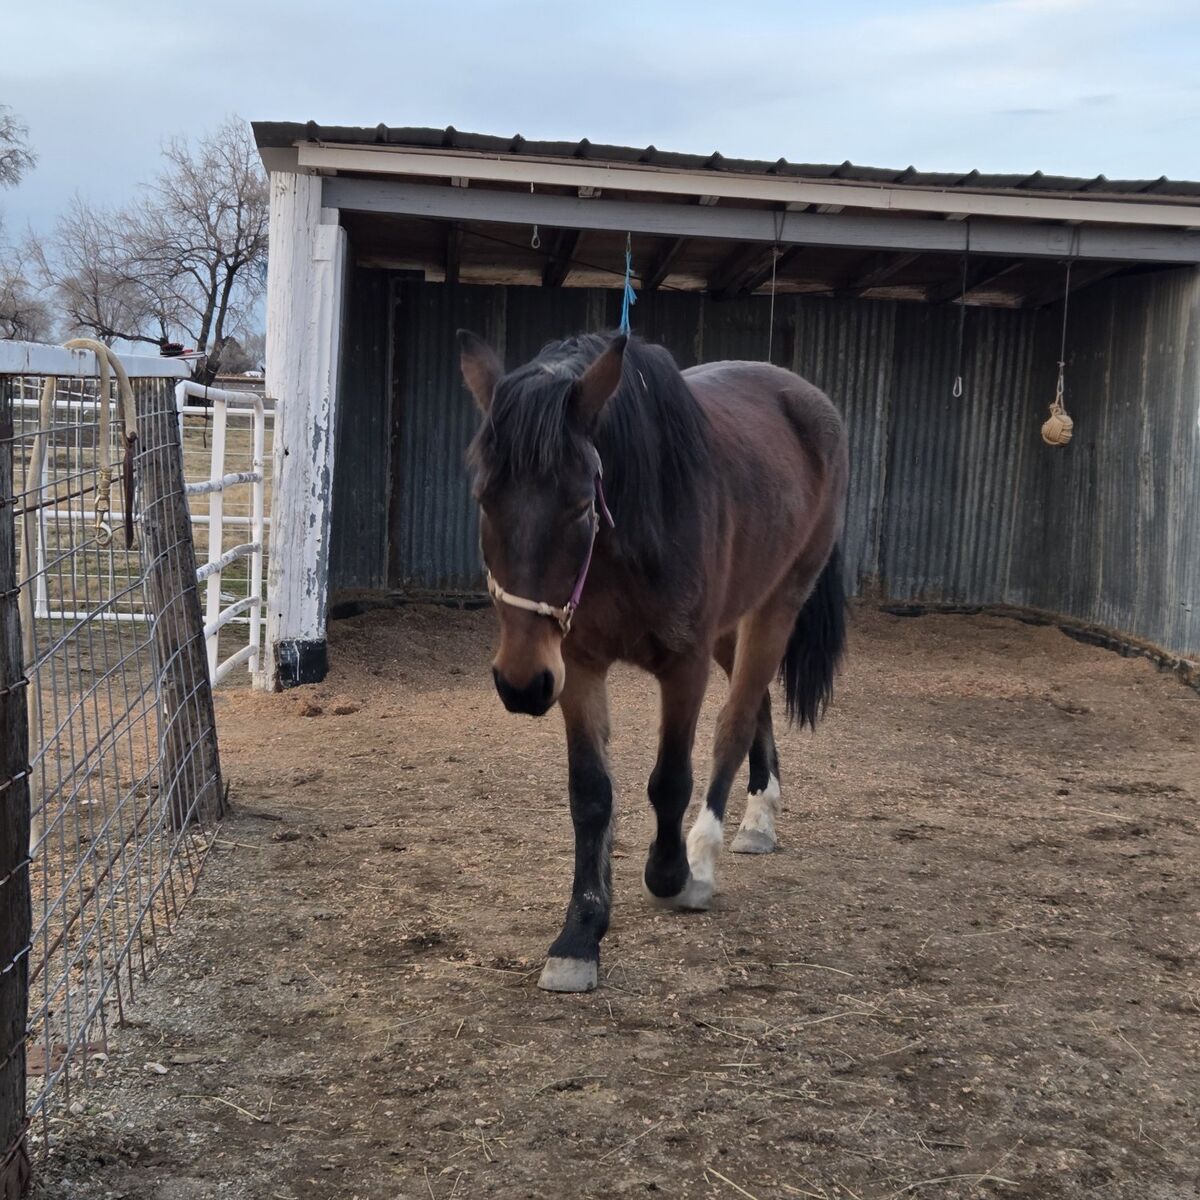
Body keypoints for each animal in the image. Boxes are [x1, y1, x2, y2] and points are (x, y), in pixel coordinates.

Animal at [459, 329, 848, 993]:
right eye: (485, 497)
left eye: (581, 502)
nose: (521, 684)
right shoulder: (576, 664)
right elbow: (591, 795)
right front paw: (580, 935)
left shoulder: (683, 663)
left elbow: (670, 780)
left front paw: (671, 874)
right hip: (731, 624)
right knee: (758, 704)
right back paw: (759, 819)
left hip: (777, 605)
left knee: (735, 722)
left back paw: (706, 856)